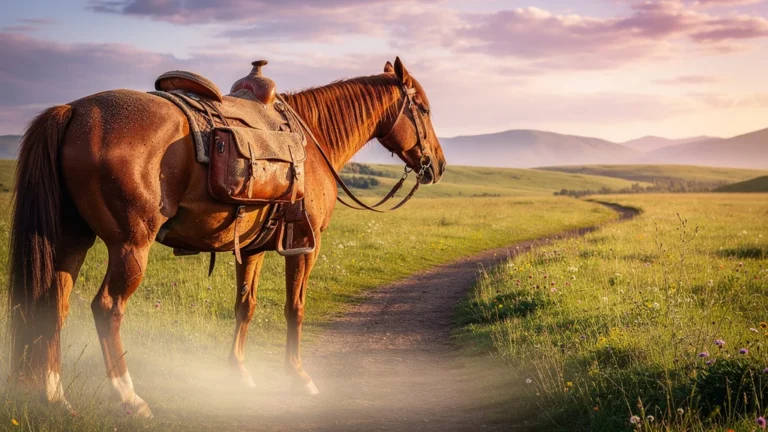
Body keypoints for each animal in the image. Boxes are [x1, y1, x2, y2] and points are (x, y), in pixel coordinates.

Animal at [7, 57, 446, 417]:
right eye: (423, 109)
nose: (438, 165)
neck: (314, 139)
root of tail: (75, 110)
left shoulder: (252, 249)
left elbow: (245, 307)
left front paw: (239, 373)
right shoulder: (305, 246)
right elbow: (295, 308)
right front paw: (299, 376)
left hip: (71, 240)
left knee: (53, 306)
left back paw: (55, 396)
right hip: (130, 247)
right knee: (107, 308)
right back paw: (129, 397)